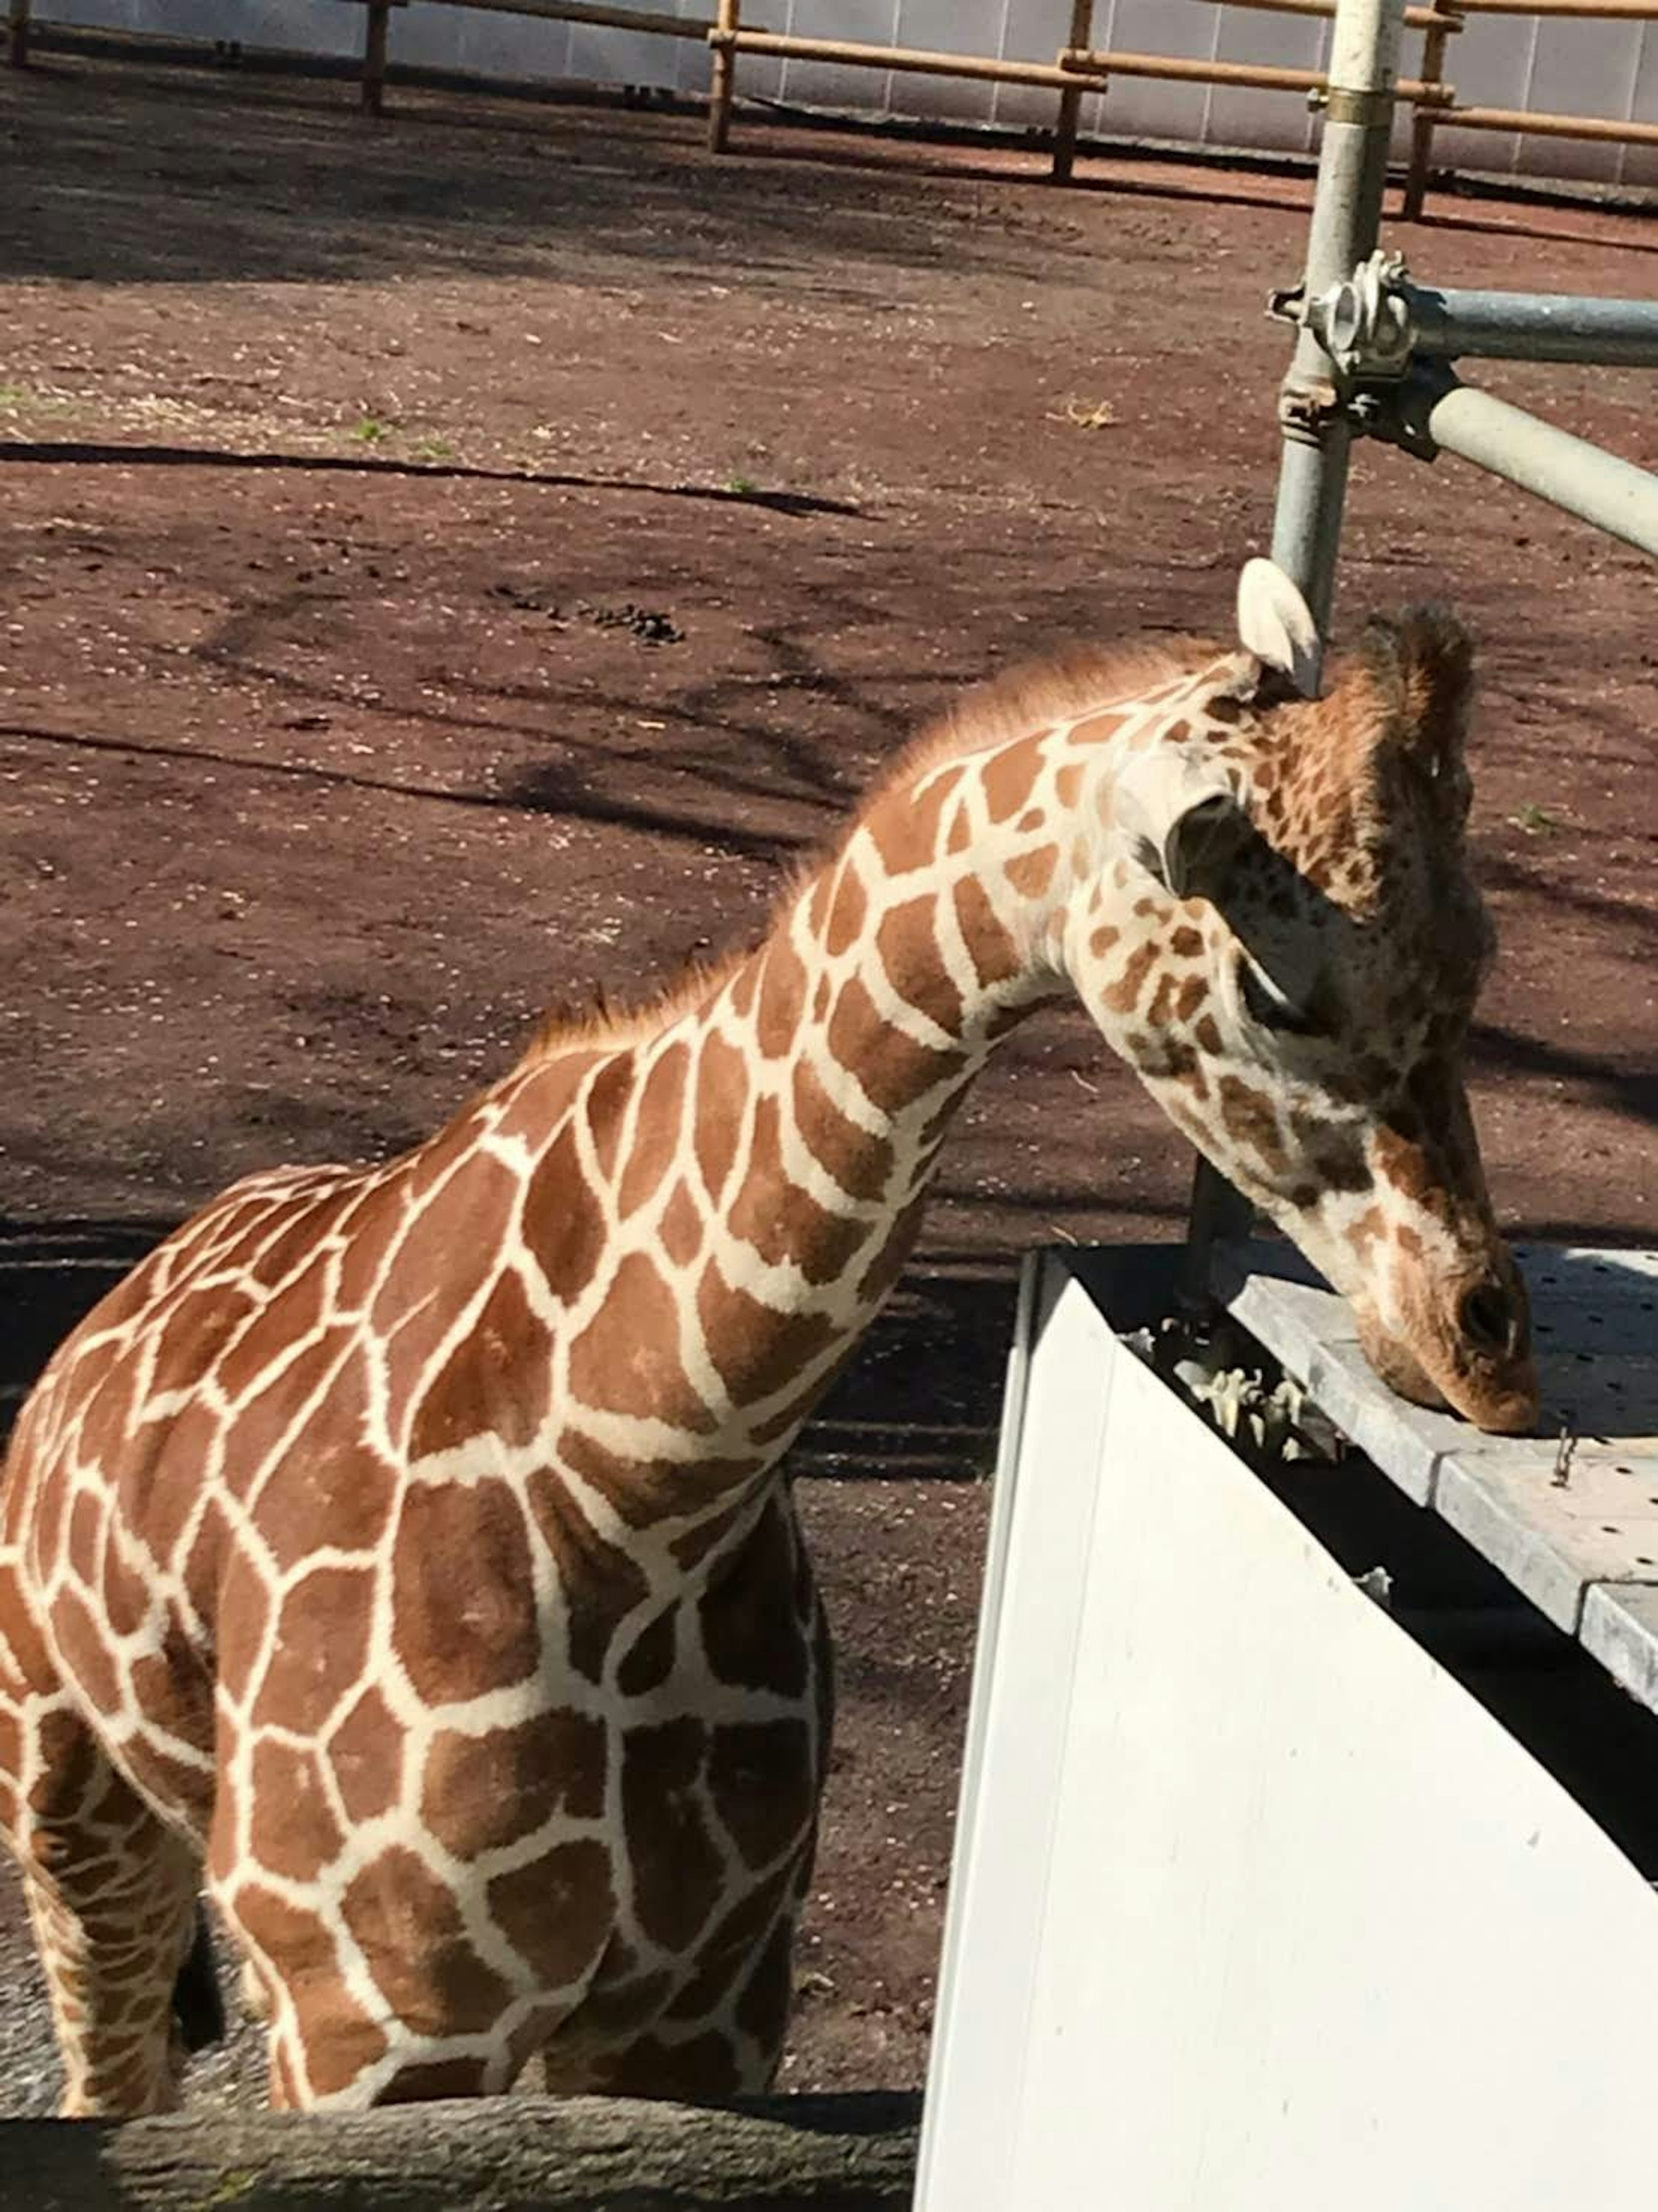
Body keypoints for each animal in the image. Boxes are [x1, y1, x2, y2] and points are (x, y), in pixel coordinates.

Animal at [0, 561, 1547, 2114]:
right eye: (1277, 989)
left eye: (1481, 953)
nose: (1486, 1352)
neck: (641, 1480)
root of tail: (93, 1332)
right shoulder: (370, 2018)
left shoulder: (708, 1998)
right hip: (67, 1787)